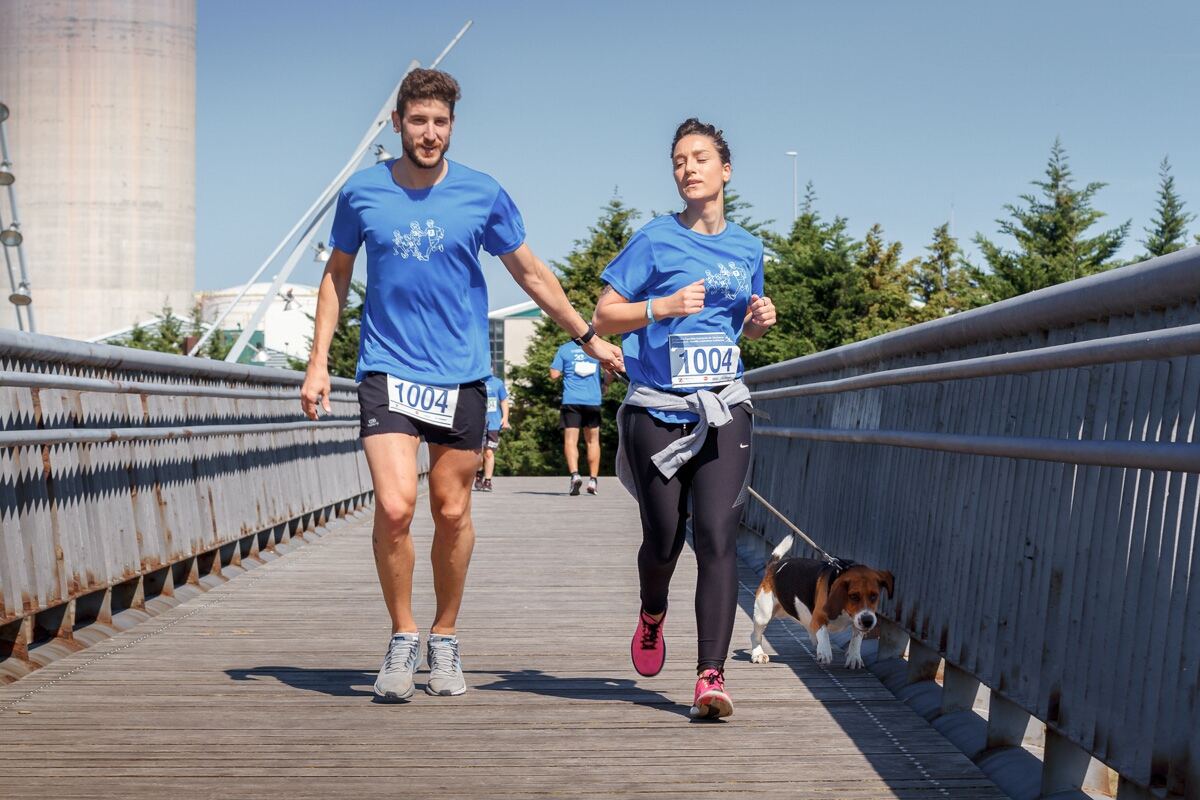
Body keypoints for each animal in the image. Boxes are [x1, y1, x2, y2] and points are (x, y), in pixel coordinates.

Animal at [748, 537, 892, 671]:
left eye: (874, 596)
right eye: (854, 597)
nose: (868, 621)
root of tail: (774, 566)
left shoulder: (859, 622)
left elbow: (856, 638)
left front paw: (854, 657)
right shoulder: (818, 617)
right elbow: (823, 632)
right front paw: (825, 652)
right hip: (763, 616)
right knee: (755, 635)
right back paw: (758, 654)